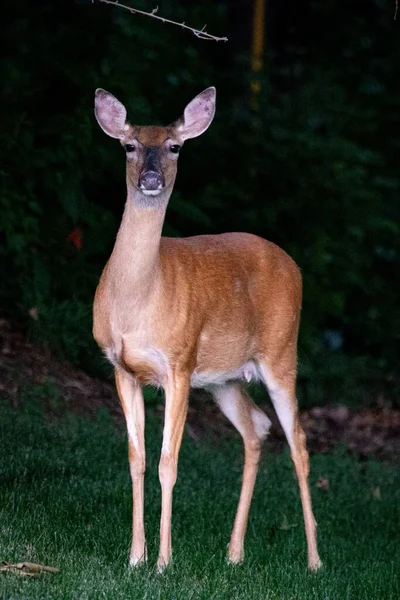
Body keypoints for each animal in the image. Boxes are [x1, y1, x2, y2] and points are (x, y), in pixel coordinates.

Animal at [93, 85, 322, 572]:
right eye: (129, 146)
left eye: (175, 146)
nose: (152, 178)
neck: (139, 300)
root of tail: (293, 265)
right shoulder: (121, 367)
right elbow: (137, 459)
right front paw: (135, 558)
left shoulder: (178, 364)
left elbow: (168, 463)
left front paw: (163, 562)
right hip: (224, 378)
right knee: (256, 428)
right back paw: (234, 553)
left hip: (281, 353)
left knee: (298, 441)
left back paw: (314, 560)